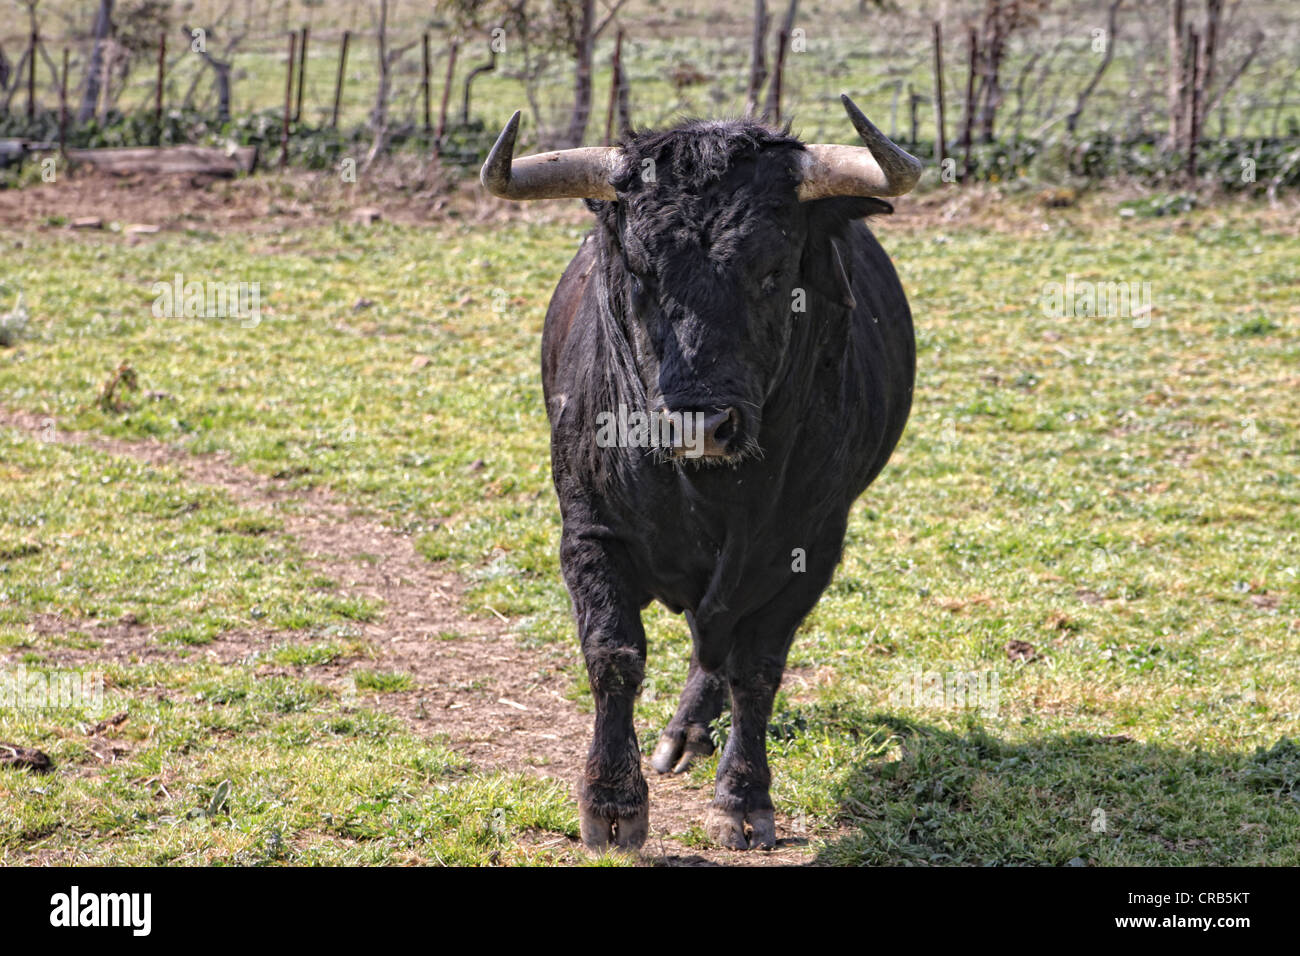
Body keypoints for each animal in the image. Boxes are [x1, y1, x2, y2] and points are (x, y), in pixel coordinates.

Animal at [483, 97, 920, 853]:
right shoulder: (588, 532)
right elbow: (614, 655)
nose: (699, 424)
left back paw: (689, 732)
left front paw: (743, 800)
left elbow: (756, 670)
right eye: (639, 270)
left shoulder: (808, 550)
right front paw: (612, 802)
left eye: (773, 271)